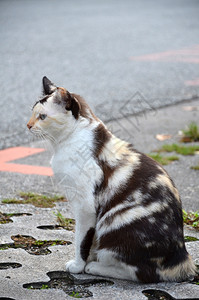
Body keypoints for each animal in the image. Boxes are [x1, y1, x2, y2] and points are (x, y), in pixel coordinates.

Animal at [27, 76, 197, 282]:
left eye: (43, 116)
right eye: (32, 113)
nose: (28, 125)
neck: (69, 140)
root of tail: (182, 257)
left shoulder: (85, 207)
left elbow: (81, 241)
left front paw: (78, 266)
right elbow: (90, 242)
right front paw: (87, 260)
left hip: (116, 225)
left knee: (142, 273)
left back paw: (96, 267)